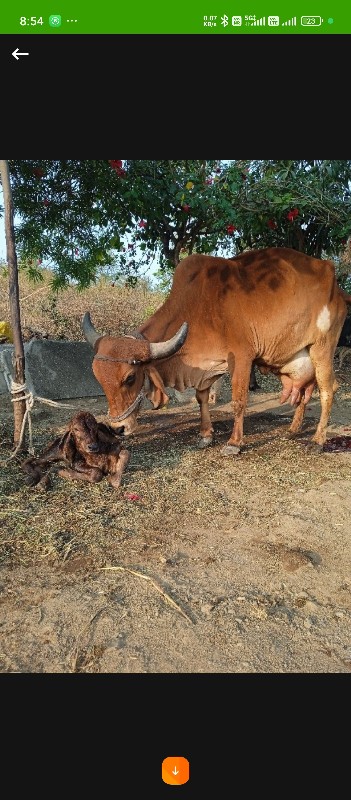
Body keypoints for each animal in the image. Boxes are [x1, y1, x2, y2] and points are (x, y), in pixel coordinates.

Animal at [82, 247, 351, 454]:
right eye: (98, 378)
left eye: (130, 378)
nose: (118, 428)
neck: (197, 307)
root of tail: (336, 285)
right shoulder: (205, 367)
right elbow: (202, 399)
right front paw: (205, 435)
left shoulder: (241, 357)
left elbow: (239, 400)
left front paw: (234, 443)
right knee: (305, 391)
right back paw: (294, 428)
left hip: (322, 348)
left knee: (328, 390)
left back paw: (318, 440)